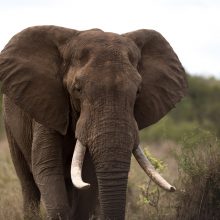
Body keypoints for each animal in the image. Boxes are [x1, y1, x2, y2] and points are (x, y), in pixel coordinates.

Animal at [0, 24, 187, 219]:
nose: (174, 189)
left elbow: (88, 180)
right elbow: (47, 168)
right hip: (10, 125)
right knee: (28, 184)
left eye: (138, 91)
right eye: (77, 89)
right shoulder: (47, 105)